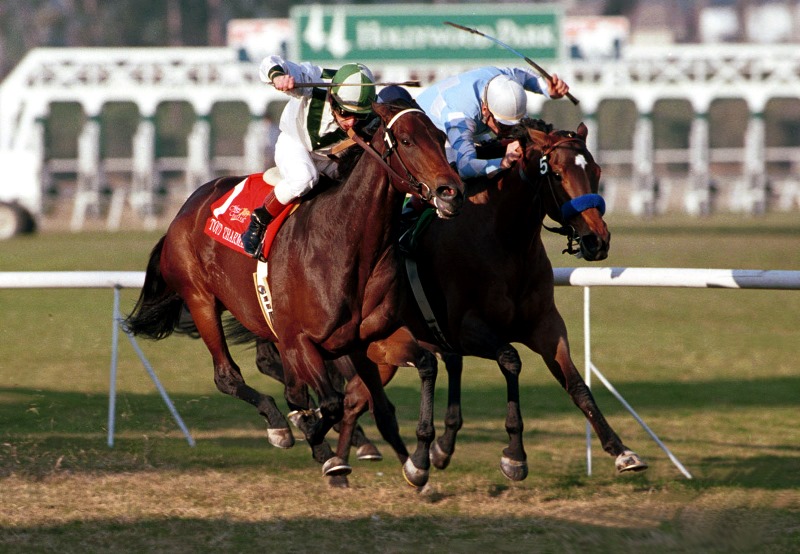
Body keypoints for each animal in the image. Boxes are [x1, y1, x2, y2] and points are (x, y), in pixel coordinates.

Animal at [122, 100, 466, 484]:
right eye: (406, 140)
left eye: (440, 136)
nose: (451, 192)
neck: (346, 241)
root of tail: (186, 207)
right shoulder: (301, 340)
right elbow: (329, 403)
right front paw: (314, 435)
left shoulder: (374, 336)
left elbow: (423, 366)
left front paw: (418, 462)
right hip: (202, 301)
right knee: (228, 376)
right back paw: (281, 427)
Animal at [334, 119, 648, 478]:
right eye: (556, 174)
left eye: (596, 170)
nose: (598, 239)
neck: (505, 241)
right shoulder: (465, 330)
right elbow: (511, 359)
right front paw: (514, 455)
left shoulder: (546, 326)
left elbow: (576, 384)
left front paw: (622, 450)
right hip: (383, 345)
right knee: (354, 397)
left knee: (356, 397)